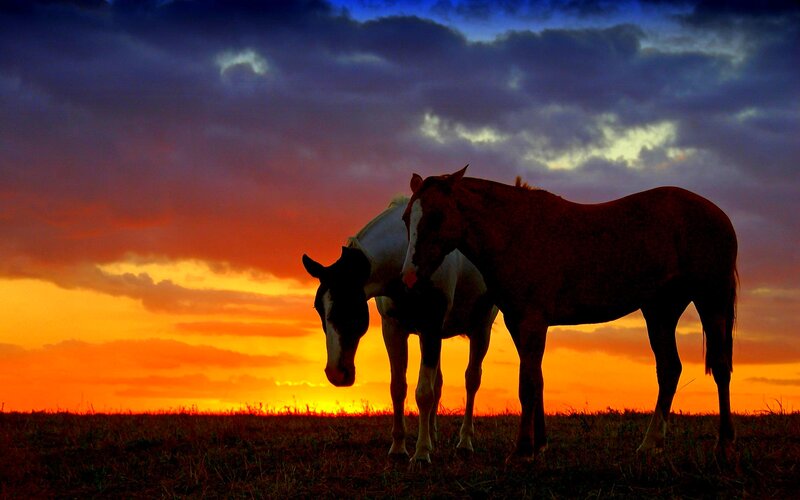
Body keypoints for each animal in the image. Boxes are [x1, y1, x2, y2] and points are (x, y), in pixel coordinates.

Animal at [302, 196, 498, 466]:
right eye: (318, 308)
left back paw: (465, 442)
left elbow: (424, 393)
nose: (335, 373)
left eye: (350, 305)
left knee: (472, 380)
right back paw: (434, 436)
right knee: (439, 382)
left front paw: (421, 453)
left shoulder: (430, 326)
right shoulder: (394, 329)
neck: (407, 261)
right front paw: (398, 448)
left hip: (480, 329)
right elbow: (398, 388)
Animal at [401, 166, 738, 461]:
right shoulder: (516, 322)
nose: (410, 278)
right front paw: (538, 445)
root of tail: (719, 215)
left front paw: (522, 450)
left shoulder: (533, 321)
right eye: (406, 219)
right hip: (660, 311)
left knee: (720, 368)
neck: (517, 232)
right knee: (669, 370)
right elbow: (536, 379)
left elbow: (527, 383)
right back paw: (650, 444)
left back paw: (723, 447)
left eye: (436, 216)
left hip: (712, 301)